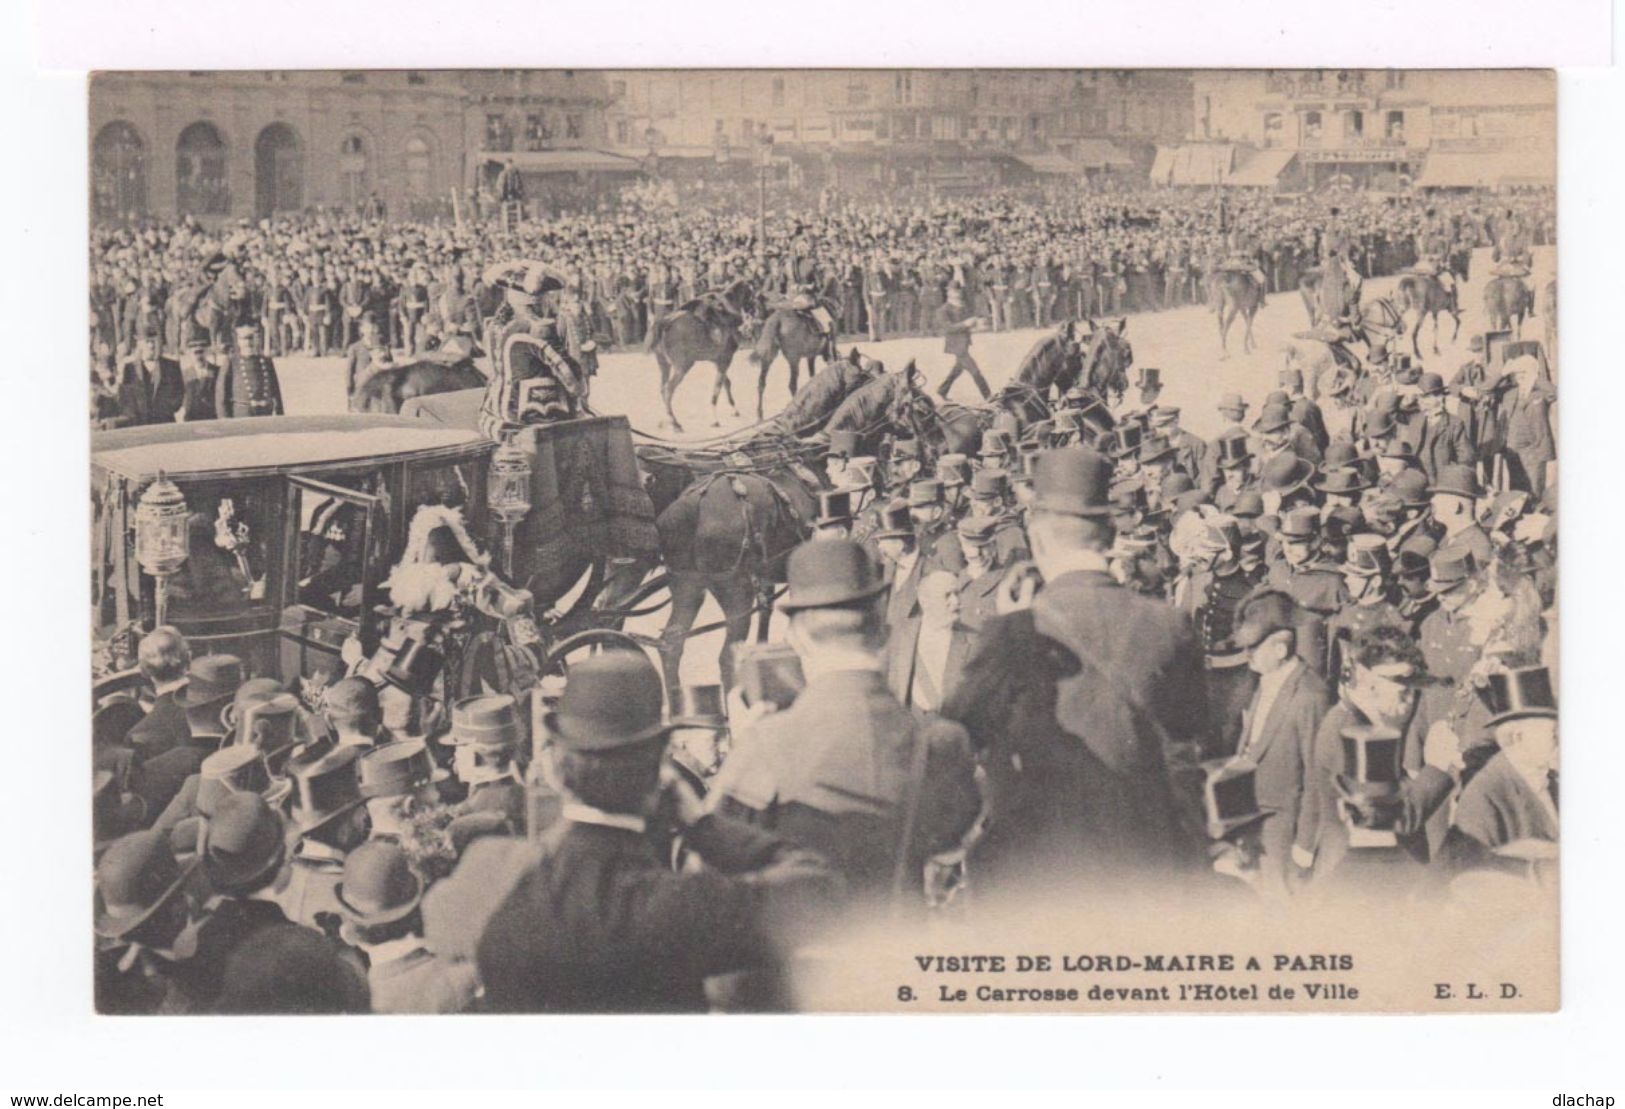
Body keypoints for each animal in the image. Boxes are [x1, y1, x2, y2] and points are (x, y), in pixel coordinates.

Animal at [640, 278, 754, 429]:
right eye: (751, 293)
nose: (752, 310)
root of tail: (664, 323)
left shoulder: (717, 361)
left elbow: (726, 383)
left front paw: (734, 410)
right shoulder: (725, 360)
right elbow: (717, 388)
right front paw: (715, 419)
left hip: (664, 365)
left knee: (662, 389)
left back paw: (667, 419)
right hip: (683, 366)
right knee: (668, 389)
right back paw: (675, 423)